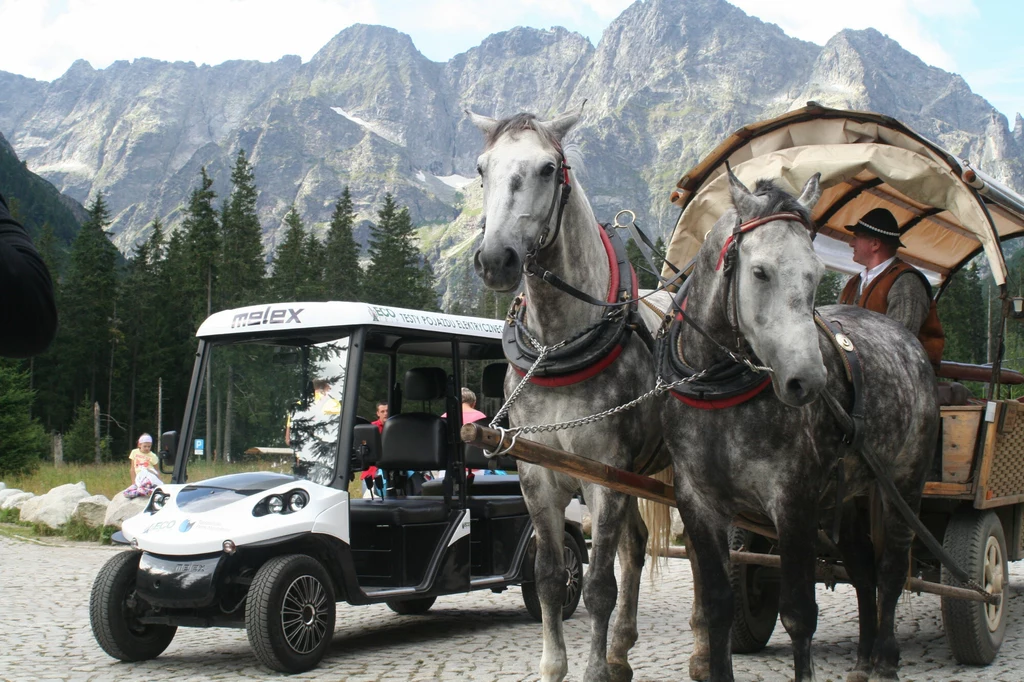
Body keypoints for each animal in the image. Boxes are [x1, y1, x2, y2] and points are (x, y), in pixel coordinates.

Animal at [466, 107, 671, 679]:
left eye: (548, 168)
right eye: (482, 168)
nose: (496, 259)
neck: (559, 345)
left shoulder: (605, 481)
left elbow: (599, 585)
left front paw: (594, 669)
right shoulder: (538, 478)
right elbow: (550, 581)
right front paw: (555, 666)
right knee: (636, 547)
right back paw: (622, 649)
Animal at [663, 171, 942, 679]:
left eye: (816, 272)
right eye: (759, 272)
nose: (808, 381)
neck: (719, 393)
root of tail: (906, 339)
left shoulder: (793, 501)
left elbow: (798, 615)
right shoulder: (697, 502)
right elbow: (717, 606)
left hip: (903, 485)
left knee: (891, 569)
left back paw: (885, 660)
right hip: (846, 496)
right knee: (863, 569)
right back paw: (863, 658)